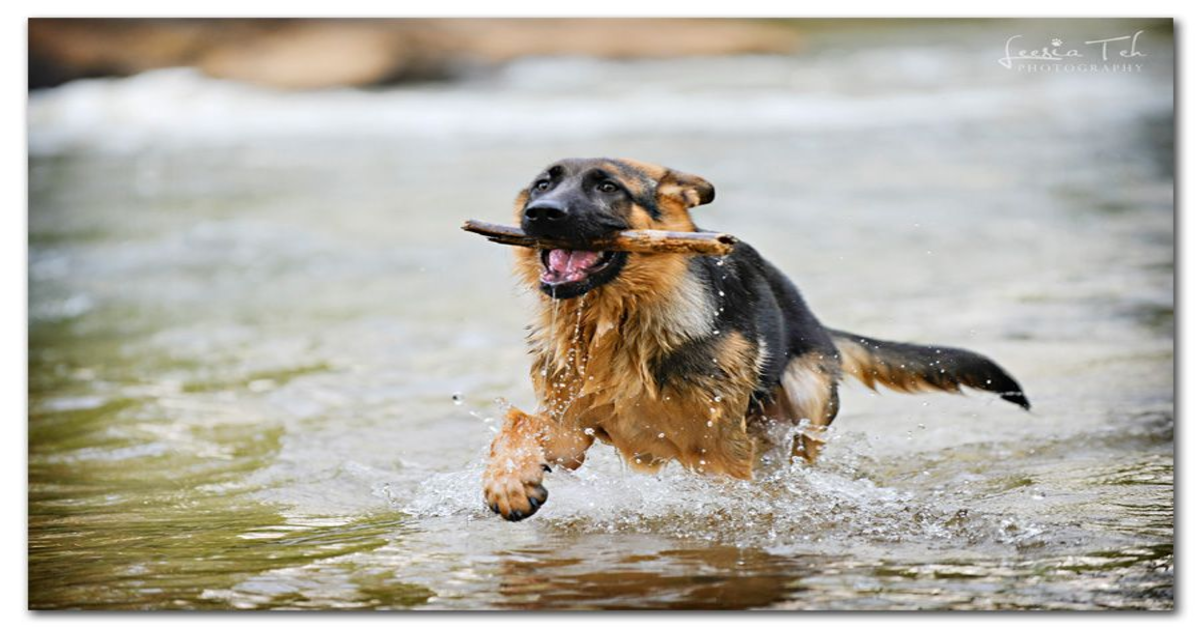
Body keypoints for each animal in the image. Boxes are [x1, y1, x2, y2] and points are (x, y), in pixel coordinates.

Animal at [482, 157, 1027, 521]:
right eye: (543, 183)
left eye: (608, 186)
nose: (541, 213)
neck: (616, 321)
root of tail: (814, 321)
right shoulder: (570, 433)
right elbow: (515, 424)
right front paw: (508, 482)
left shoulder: (718, 449)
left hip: (805, 405)